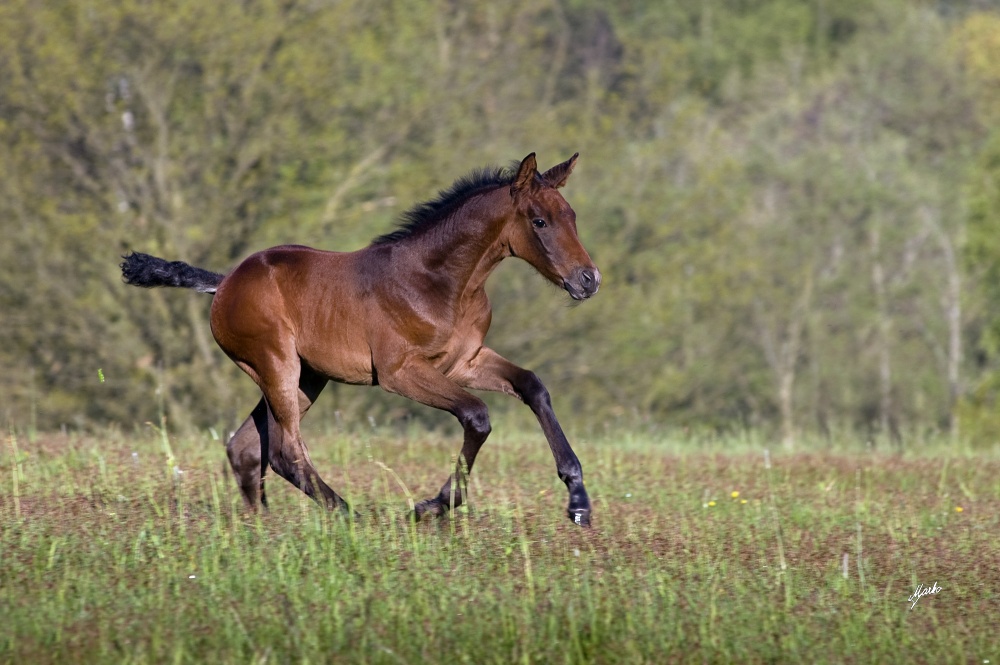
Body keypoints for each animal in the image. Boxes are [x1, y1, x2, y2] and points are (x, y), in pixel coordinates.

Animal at [119, 153, 600, 528]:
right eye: (539, 221)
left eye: (573, 216)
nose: (588, 280)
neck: (441, 282)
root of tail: (224, 284)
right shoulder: (399, 372)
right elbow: (476, 415)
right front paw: (430, 506)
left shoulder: (465, 361)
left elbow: (533, 385)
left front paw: (578, 500)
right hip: (276, 365)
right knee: (285, 451)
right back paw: (349, 516)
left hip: (307, 377)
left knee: (246, 448)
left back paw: (263, 528)